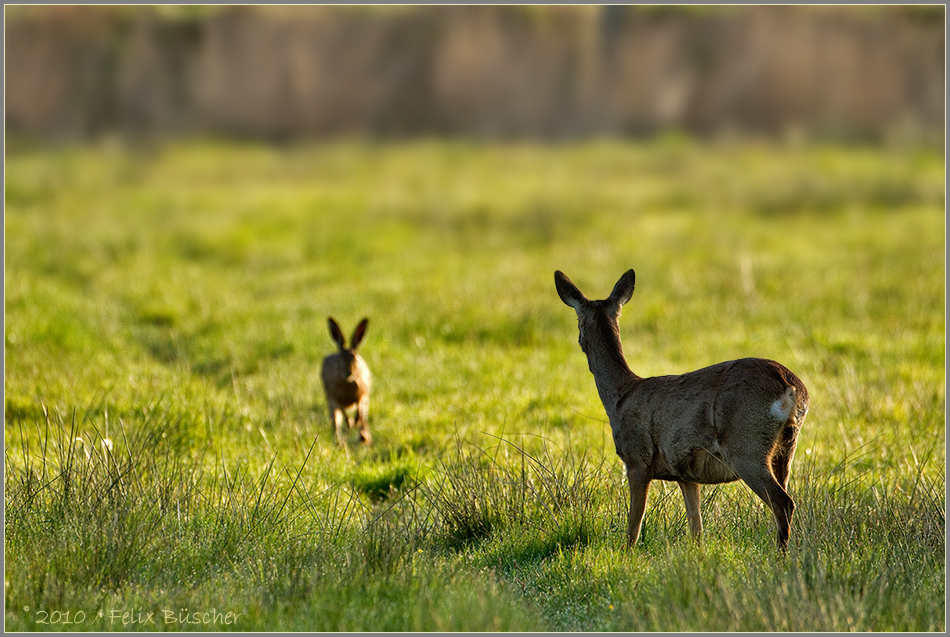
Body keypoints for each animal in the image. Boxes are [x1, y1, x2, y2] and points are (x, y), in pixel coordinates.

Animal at [326, 318, 374, 448]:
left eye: (355, 357)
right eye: (339, 358)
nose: (348, 373)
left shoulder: (363, 395)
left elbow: (360, 409)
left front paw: (355, 423)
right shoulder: (334, 398)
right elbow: (343, 412)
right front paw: (350, 422)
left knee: (364, 418)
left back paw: (363, 437)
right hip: (331, 404)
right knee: (336, 422)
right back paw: (339, 441)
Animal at [556, 268, 812, 552]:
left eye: (577, 320)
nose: (578, 341)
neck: (620, 396)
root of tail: (790, 386)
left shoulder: (637, 460)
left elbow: (634, 523)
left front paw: (627, 553)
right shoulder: (685, 472)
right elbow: (696, 526)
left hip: (746, 445)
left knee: (783, 502)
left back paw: (780, 556)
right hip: (785, 448)